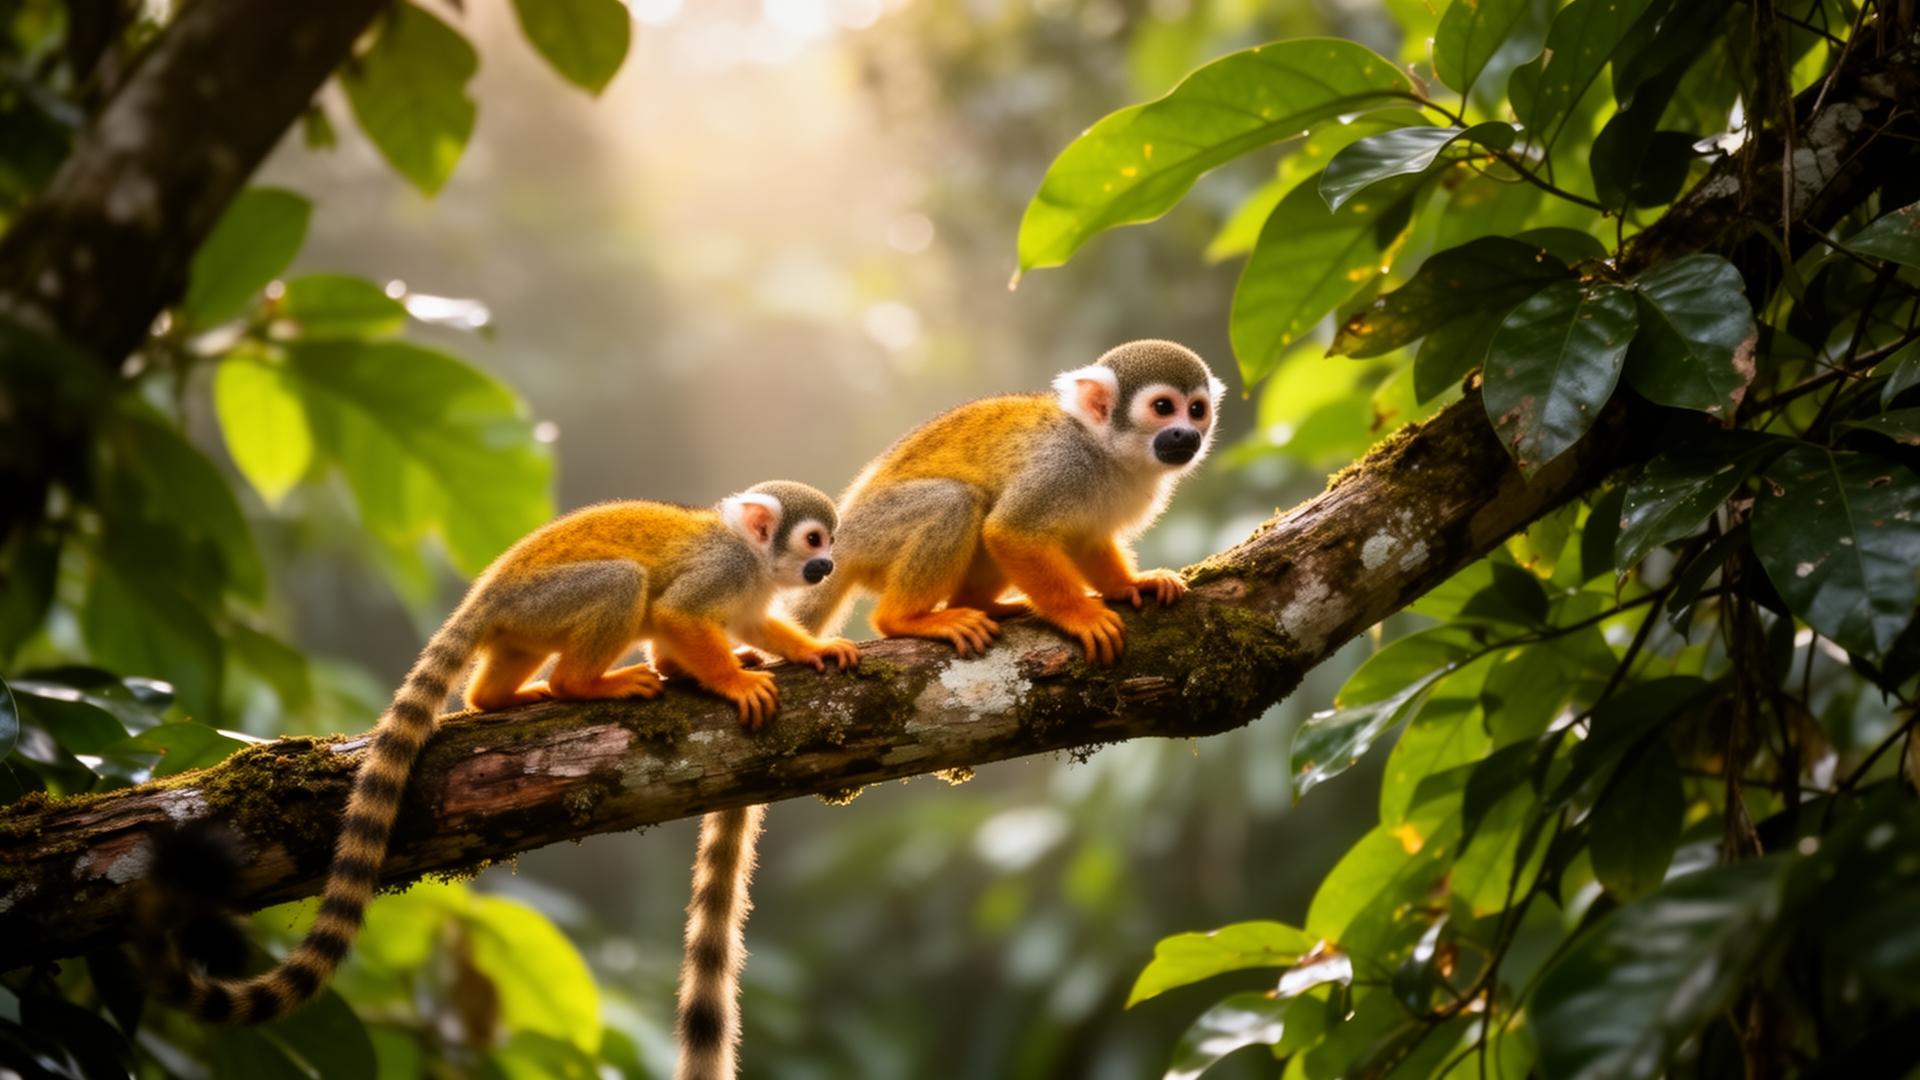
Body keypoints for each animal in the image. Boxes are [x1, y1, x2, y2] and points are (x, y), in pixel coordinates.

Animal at [137, 480, 858, 1041]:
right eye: (813, 540)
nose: (825, 567)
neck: (754, 559)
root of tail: (486, 593)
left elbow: (734, 626)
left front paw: (796, 651)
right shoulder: (725, 570)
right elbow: (678, 613)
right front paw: (731, 680)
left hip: (524, 621)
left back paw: (501, 696)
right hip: (543, 599)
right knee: (625, 582)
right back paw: (580, 684)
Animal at [787, 339, 1224, 664]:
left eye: (1196, 410)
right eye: (1163, 408)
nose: (1187, 434)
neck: (1105, 451)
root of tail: (840, 537)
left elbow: (1085, 540)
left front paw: (1128, 584)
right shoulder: (1060, 465)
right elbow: (1009, 531)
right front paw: (1079, 614)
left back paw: (980, 604)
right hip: (874, 531)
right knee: (959, 501)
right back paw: (906, 619)